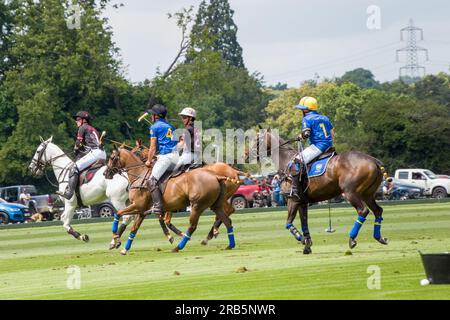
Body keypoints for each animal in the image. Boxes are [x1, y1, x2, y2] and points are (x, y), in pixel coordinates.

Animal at [106, 147, 239, 255]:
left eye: (112, 158)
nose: (105, 173)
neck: (140, 175)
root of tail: (217, 176)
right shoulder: (143, 211)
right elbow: (135, 228)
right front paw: (124, 248)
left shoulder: (138, 206)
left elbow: (118, 214)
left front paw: (115, 238)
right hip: (215, 205)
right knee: (227, 220)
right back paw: (228, 244)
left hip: (197, 205)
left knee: (193, 226)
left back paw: (179, 247)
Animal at [248, 129, 388, 254]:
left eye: (257, 140)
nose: (247, 155)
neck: (286, 161)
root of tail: (374, 161)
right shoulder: (302, 203)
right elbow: (304, 223)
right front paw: (307, 246)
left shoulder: (292, 200)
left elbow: (288, 223)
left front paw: (302, 239)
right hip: (368, 194)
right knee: (378, 211)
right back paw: (380, 237)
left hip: (351, 193)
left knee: (363, 210)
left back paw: (352, 239)